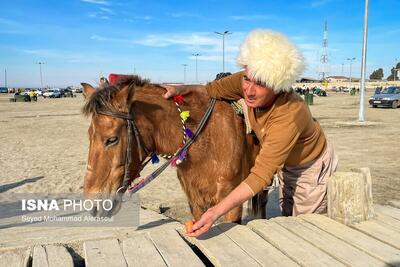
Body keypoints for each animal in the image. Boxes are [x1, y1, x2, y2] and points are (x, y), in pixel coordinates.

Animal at [81, 76, 266, 224]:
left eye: (112, 139)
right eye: (89, 135)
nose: (93, 205)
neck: (206, 140)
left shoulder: (232, 206)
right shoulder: (195, 201)